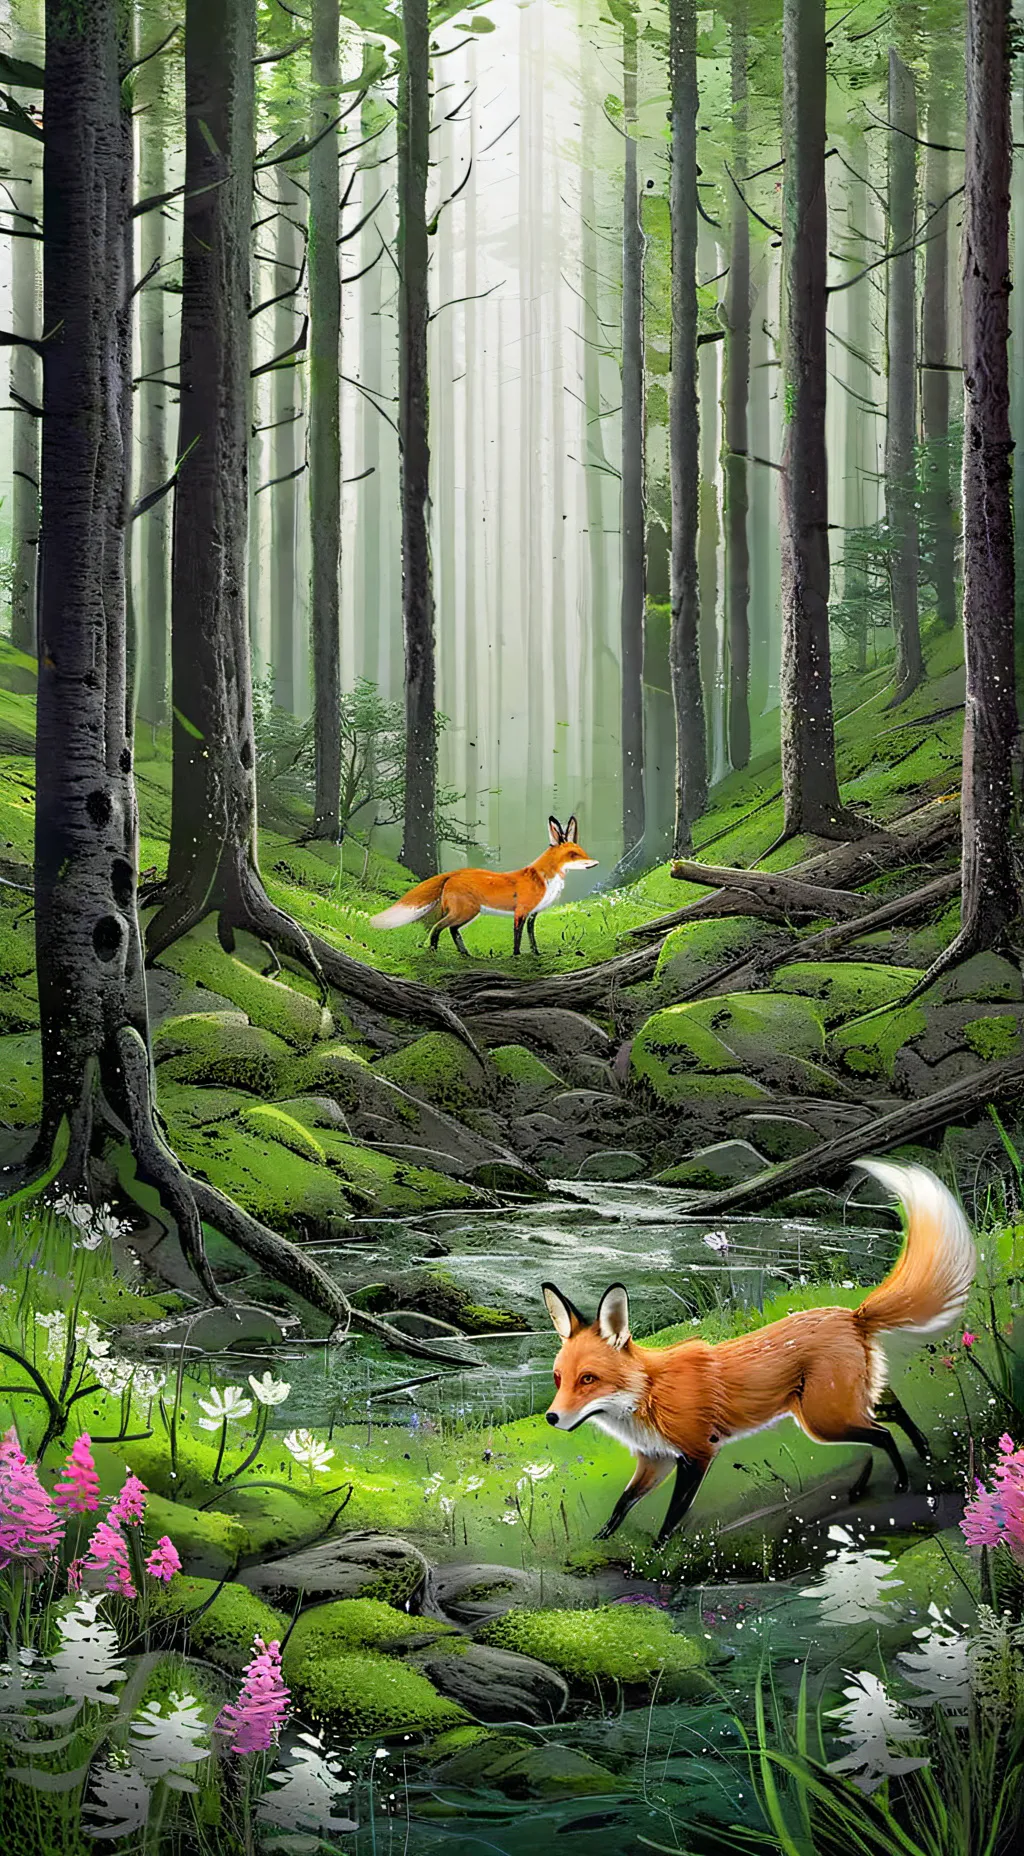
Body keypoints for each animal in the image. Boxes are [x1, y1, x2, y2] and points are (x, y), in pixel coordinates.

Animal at [369, 815, 598, 957]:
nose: (595, 863)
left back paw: (465, 954)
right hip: (466, 912)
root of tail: (453, 874)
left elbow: (531, 937)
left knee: (452, 930)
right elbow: (517, 937)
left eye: (582, 852)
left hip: (468, 913)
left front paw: (536, 954)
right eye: (573, 855)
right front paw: (516, 956)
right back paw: (435, 950)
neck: (544, 880)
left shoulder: (533, 914)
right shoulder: (521, 912)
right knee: (438, 928)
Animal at [543, 1159, 975, 1548]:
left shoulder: (698, 1453)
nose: (550, 1418)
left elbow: (673, 1514)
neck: (648, 1394)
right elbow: (622, 1503)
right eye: (558, 1379)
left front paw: (659, 1551)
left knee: (882, 1433)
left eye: (588, 1379)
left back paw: (900, 1479)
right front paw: (601, 1539)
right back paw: (921, 1451)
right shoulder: (655, 1459)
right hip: (836, 1408)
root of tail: (851, 1314)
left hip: (823, 1420)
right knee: (894, 1408)